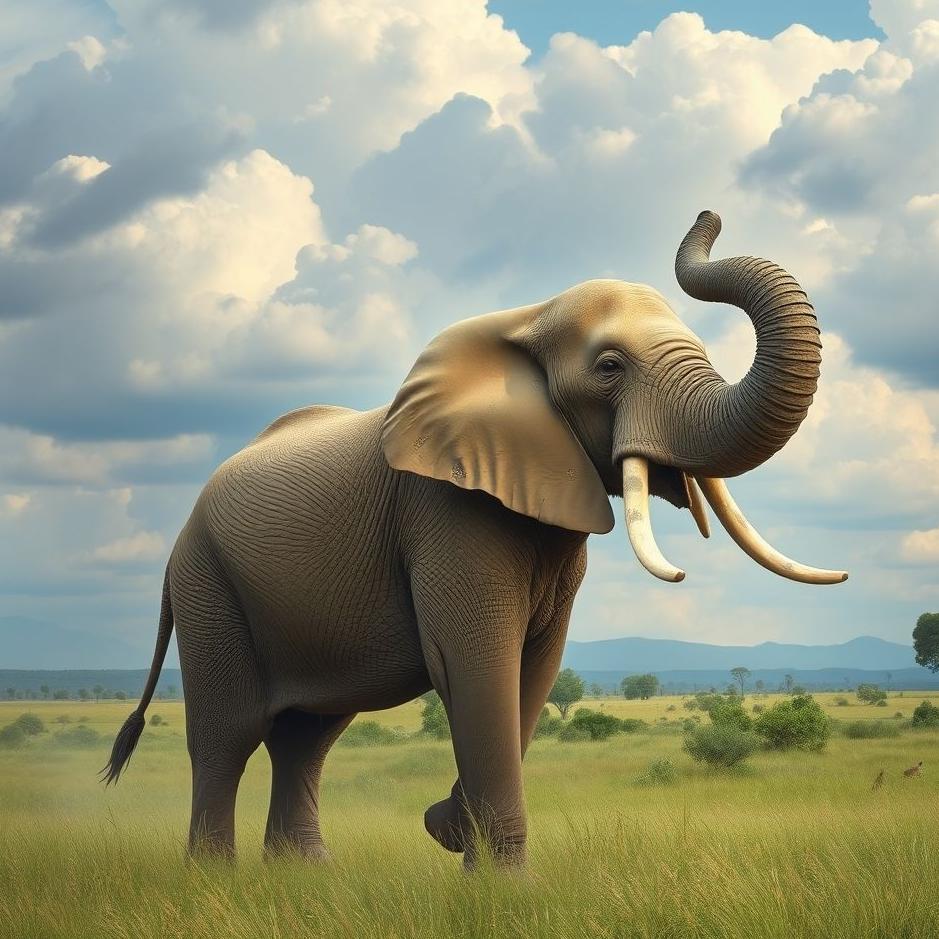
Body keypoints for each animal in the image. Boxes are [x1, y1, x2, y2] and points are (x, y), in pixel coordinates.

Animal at [102, 210, 846, 866]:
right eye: (609, 366)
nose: (707, 215)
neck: (528, 316)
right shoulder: (443, 510)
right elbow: (474, 661)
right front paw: (493, 875)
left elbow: (534, 667)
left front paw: (457, 840)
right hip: (208, 580)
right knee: (228, 735)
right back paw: (214, 878)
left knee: (308, 733)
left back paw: (304, 873)